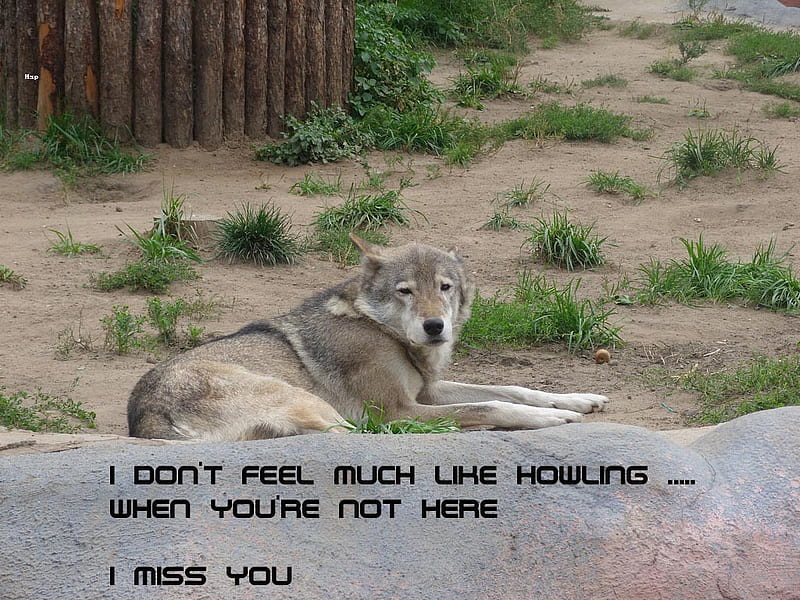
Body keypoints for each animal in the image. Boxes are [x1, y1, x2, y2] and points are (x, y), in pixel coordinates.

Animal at [128, 235, 608, 440]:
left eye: (445, 287)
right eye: (405, 291)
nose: (435, 327)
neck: (379, 327)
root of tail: (147, 418)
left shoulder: (426, 390)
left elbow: (511, 388)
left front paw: (577, 400)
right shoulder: (399, 408)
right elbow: (489, 404)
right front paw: (551, 420)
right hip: (325, 407)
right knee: (376, 435)